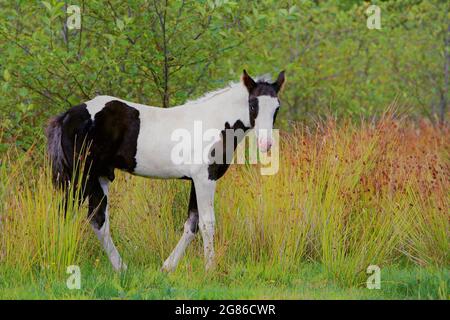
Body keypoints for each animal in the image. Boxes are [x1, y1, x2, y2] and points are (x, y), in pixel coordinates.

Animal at [45, 69, 284, 270]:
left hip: (100, 176)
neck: (214, 123)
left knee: (98, 220)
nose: (266, 144)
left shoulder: (195, 181)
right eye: (253, 104)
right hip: (80, 177)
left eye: (276, 108)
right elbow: (207, 223)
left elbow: (192, 224)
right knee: (65, 212)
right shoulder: (204, 179)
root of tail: (66, 116)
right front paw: (210, 270)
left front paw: (167, 267)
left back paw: (121, 268)